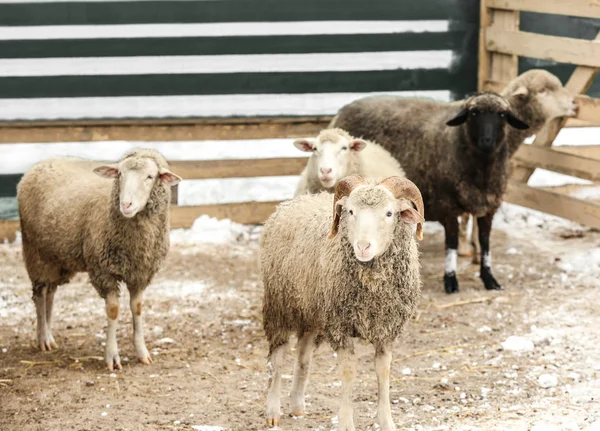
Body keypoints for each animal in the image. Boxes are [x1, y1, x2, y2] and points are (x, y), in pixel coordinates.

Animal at [17, 148, 182, 372]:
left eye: (150, 176)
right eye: (120, 174)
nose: (126, 205)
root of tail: (39, 165)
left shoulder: (140, 273)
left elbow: (137, 309)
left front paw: (142, 352)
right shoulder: (104, 271)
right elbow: (113, 311)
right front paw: (111, 356)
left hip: (57, 258)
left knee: (50, 293)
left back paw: (50, 337)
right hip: (35, 252)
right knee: (40, 295)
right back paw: (43, 339)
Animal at [260, 174, 424, 430]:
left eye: (389, 213)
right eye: (350, 211)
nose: (363, 247)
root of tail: (290, 203)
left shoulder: (386, 330)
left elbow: (383, 372)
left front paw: (387, 421)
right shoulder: (340, 326)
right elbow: (348, 373)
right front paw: (346, 422)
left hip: (311, 311)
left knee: (303, 356)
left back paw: (297, 404)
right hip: (280, 306)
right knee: (277, 358)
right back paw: (273, 411)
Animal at [330, 69, 580, 296]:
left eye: (502, 115)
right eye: (545, 91)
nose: (576, 104)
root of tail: (341, 111)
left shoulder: (486, 205)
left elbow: (485, 242)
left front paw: (487, 275)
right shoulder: (447, 205)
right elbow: (451, 243)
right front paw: (451, 278)